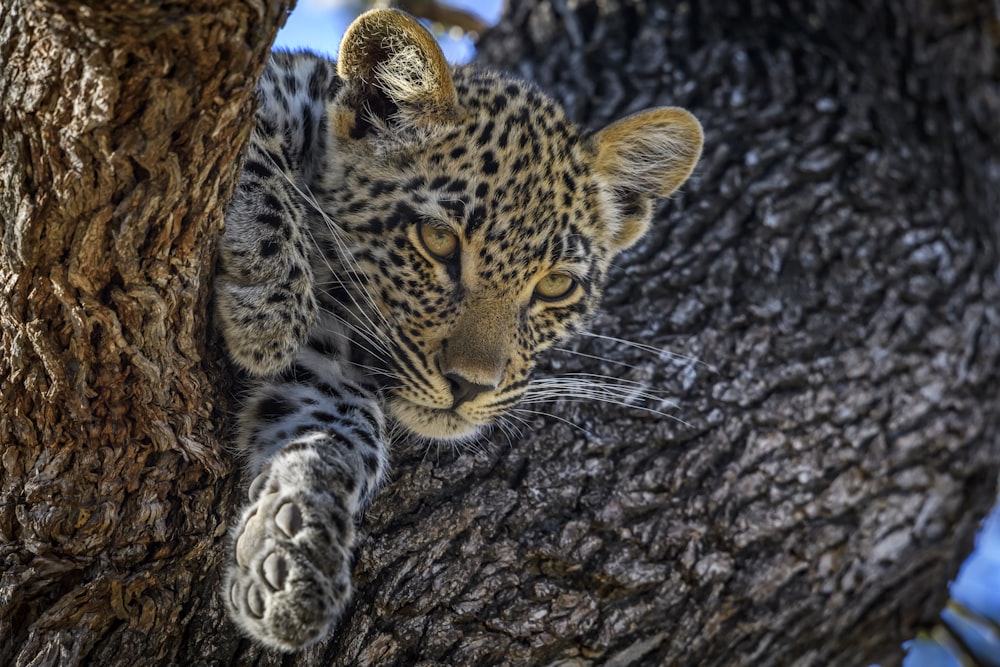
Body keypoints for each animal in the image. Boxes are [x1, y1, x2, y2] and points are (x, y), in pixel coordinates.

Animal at [217, 5, 704, 652]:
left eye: (555, 285)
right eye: (438, 241)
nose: (470, 386)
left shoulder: (331, 366)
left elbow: (336, 436)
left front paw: (291, 553)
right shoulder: (275, 84)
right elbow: (253, 144)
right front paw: (268, 307)